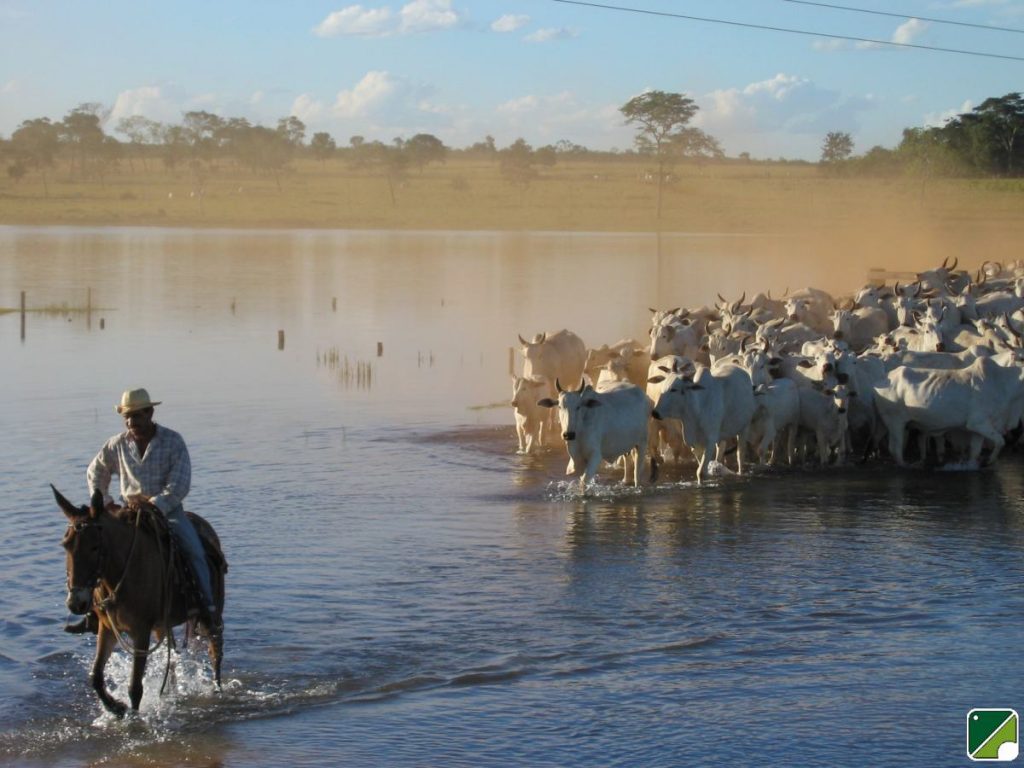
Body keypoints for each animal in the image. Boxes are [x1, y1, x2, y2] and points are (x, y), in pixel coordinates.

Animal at [53, 487, 226, 720]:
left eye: (95, 547)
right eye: (65, 545)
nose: (76, 603)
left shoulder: (140, 632)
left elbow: (135, 687)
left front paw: (133, 719)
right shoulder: (108, 628)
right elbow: (96, 677)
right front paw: (115, 707)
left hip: (213, 612)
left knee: (215, 650)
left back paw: (217, 691)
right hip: (162, 626)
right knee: (171, 659)